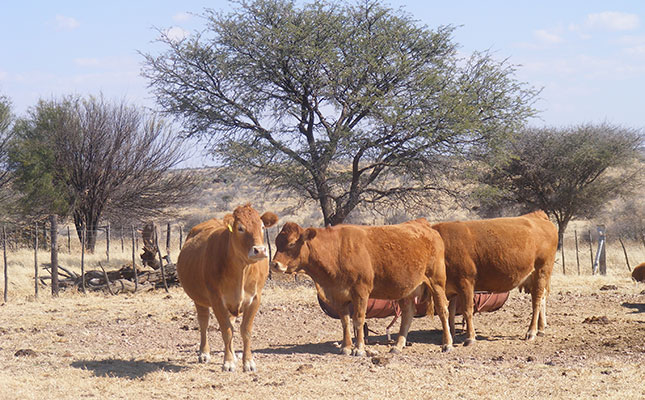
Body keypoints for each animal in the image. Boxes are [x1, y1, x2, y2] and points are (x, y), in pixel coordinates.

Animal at [176, 205, 276, 374]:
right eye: (240, 228)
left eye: (262, 227)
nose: (260, 250)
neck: (241, 270)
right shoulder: (217, 300)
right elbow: (226, 331)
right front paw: (228, 363)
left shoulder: (255, 298)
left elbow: (245, 330)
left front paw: (248, 362)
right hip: (199, 300)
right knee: (204, 323)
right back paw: (204, 354)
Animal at [270, 220, 450, 354]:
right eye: (277, 242)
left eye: (291, 243)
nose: (274, 264)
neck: (335, 251)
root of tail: (425, 226)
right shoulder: (338, 295)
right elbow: (345, 321)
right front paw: (346, 347)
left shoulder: (361, 292)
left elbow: (358, 319)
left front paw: (359, 348)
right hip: (408, 290)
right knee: (408, 315)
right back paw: (398, 346)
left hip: (437, 282)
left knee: (443, 310)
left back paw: (447, 344)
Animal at [432, 211, 560, 346]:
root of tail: (537, 216)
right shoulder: (448, 288)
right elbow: (450, 312)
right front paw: (450, 335)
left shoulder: (465, 282)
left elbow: (467, 310)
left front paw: (470, 338)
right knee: (542, 298)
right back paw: (541, 329)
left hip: (542, 271)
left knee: (537, 301)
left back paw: (531, 332)